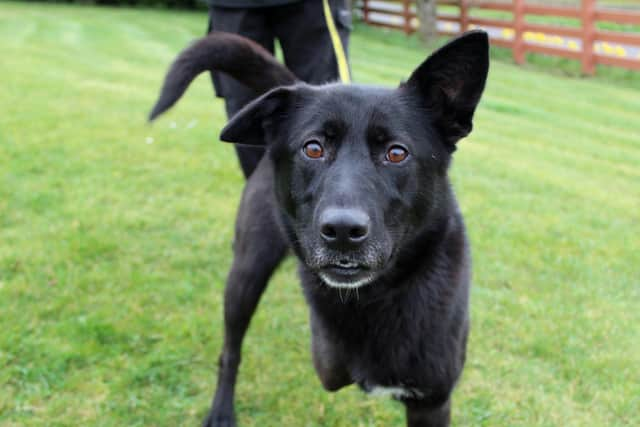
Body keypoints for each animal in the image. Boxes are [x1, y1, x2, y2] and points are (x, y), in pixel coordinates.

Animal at [150, 30, 490, 427]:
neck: (377, 294)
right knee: (231, 351)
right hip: (246, 273)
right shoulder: (329, 360)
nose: (342, 231)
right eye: (313, 148)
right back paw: (221, 410)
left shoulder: (432, 399)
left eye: (396, 153)